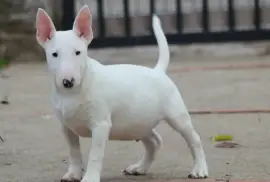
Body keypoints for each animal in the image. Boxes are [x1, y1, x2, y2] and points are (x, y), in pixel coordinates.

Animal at [35, 4, 209, 182]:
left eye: (78, 52)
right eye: (54, 54)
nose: (68, 81)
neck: (74, 92)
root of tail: (158, 71)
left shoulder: (101, 125)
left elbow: (95, 154)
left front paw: (90, 178)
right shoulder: (66, 127)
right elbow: (74, 151)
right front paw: (73, 174)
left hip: (176, 116)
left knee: (194, 139)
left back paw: (199, 170)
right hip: (138, 122)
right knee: (154, 141)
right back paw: (140, 168)